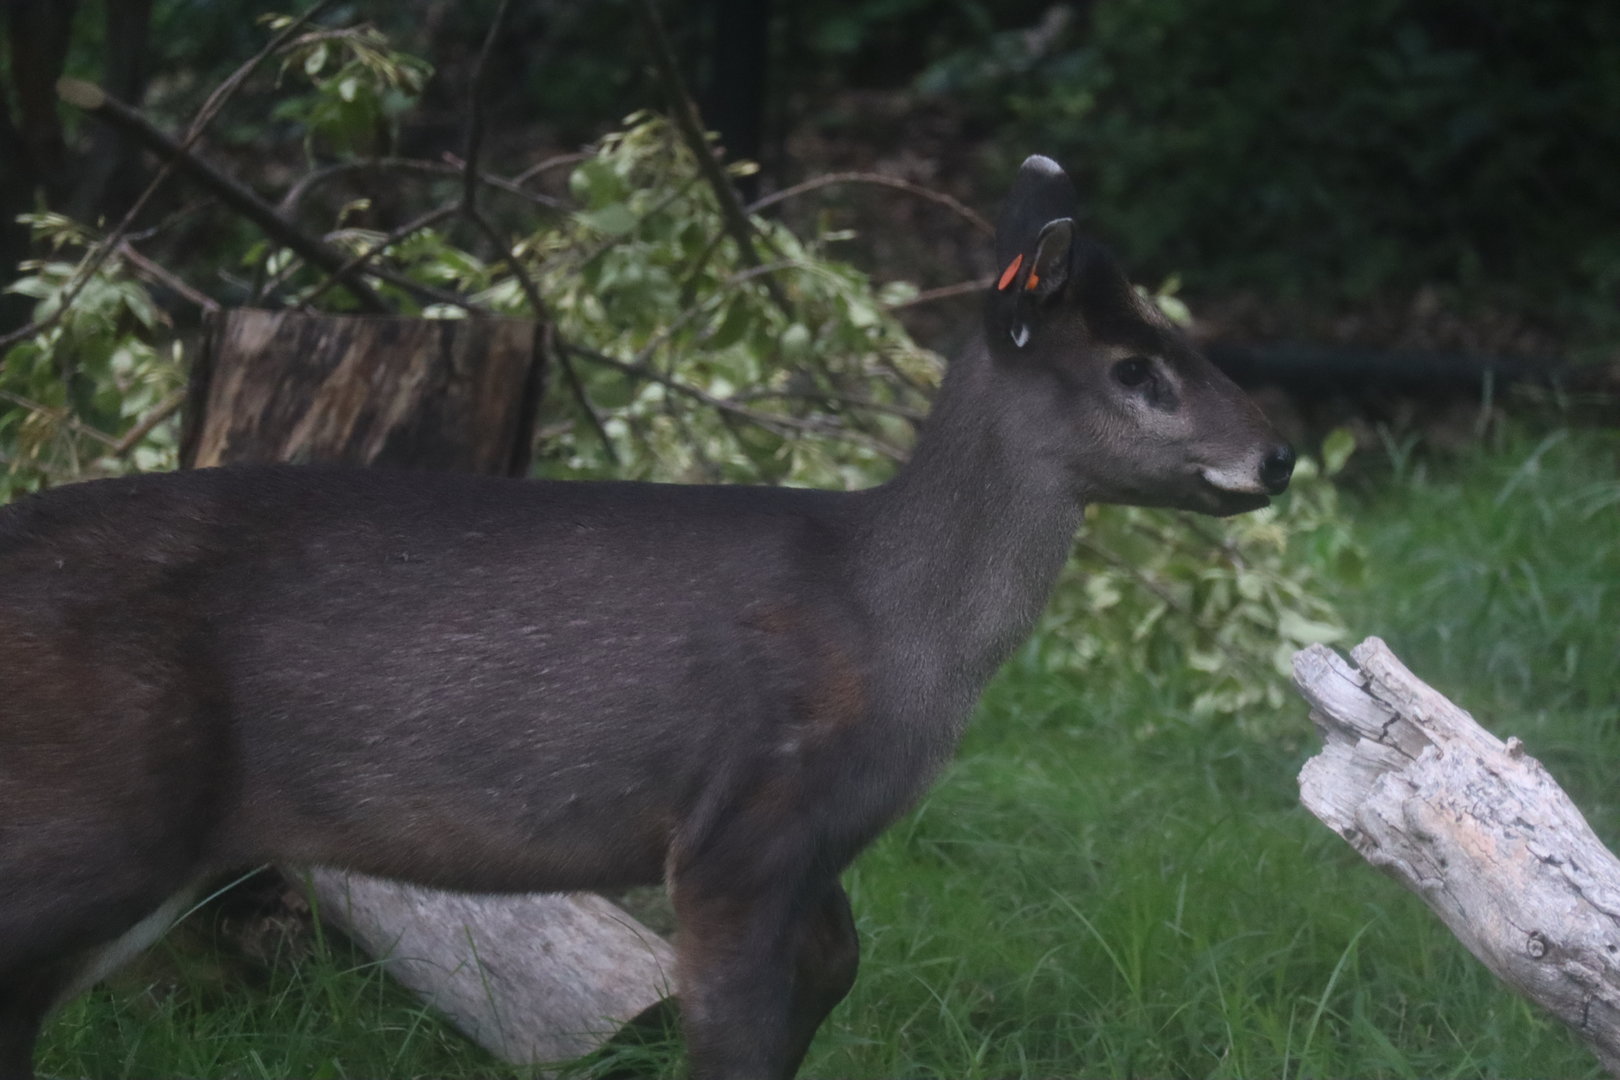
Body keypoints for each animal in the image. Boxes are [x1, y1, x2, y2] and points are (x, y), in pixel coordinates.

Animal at [0, 155, 1293, 1080]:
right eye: (1137, 370)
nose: (1279, 455)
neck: (899, 630)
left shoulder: (808, 846)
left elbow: (831, 974)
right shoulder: (739, 822)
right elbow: (729, 1033)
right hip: (93, 810)